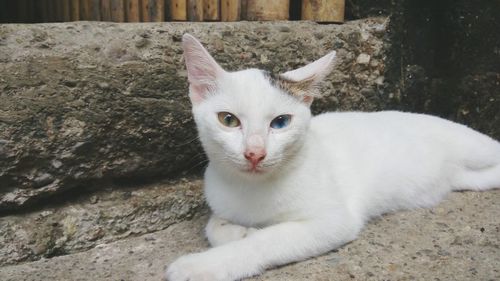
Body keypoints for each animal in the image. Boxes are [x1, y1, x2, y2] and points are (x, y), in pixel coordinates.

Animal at [165, 33, 500, 280]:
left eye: (280, 122)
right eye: (228, 120)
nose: (255, 153)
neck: (252, 189)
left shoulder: (334, 220)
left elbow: (267, 240)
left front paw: (202, 265)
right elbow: (213, 226)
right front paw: (238, 231)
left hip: (475, 148)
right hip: (468, 177)